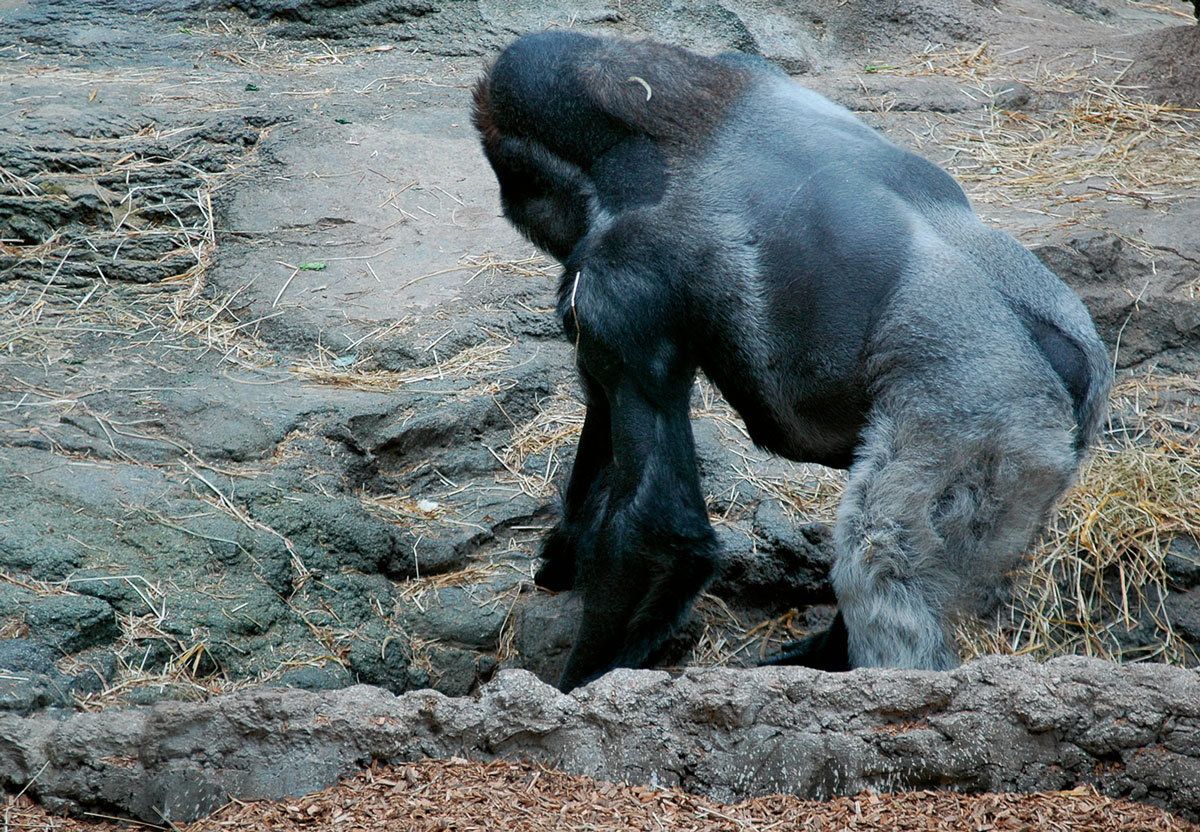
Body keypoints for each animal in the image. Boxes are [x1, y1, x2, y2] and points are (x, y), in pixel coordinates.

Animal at [472, 30, 1108, 696]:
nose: (510, 204)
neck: (658, 118)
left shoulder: (619, 279)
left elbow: (657, 528)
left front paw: (580, 686)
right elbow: (602, 416)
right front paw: (564, 552)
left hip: (991, 413)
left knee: (877, 554)